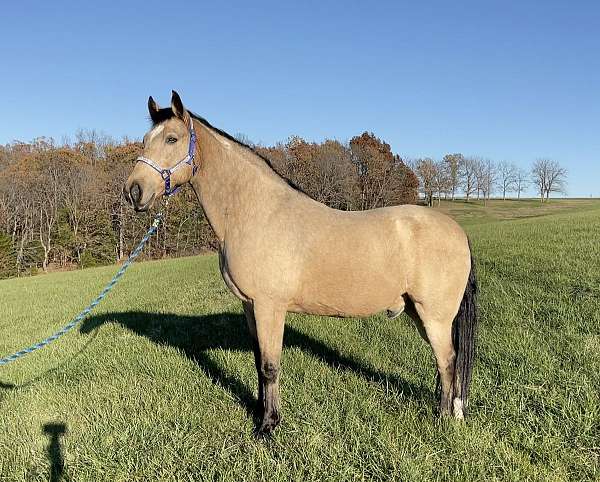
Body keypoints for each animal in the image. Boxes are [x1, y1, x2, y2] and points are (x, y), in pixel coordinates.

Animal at [123, 90, 478, 436]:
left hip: (434, 316)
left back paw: (445, 419)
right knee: (445, 362)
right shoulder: (250, 306)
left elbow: (270, 366)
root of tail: (458, 232)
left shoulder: (269, 306)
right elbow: (259, 362)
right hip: (420, 313)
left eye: (172, 138)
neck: (256, 212)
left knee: (447, 360)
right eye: (145, 139)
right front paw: (260, 413)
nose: (133, 191)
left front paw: (268, 426)